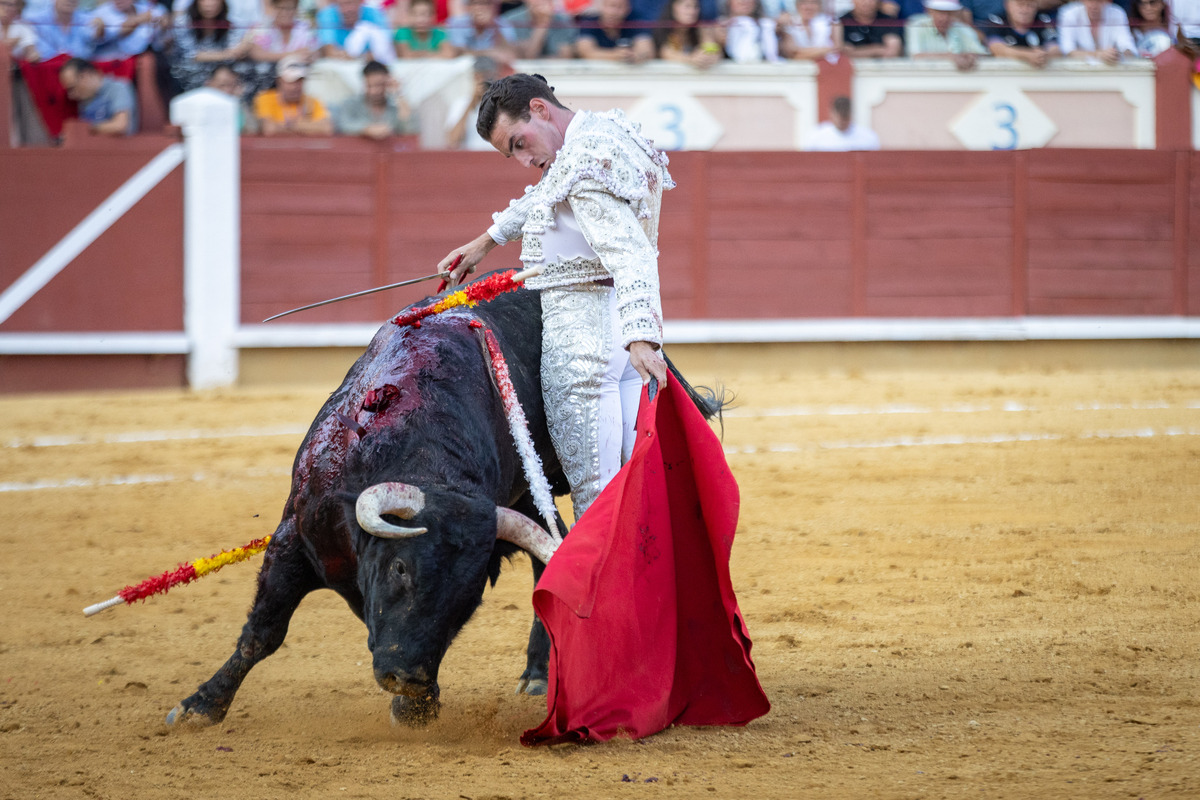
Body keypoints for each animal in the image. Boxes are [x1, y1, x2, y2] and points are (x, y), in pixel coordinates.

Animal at [165, 281, 715, 724]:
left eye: (469, 595)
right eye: (400, 568)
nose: (407, 677)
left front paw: (416, 708)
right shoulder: (294, 537)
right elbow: (263, 631)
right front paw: (200, 706)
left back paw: (540, 672)